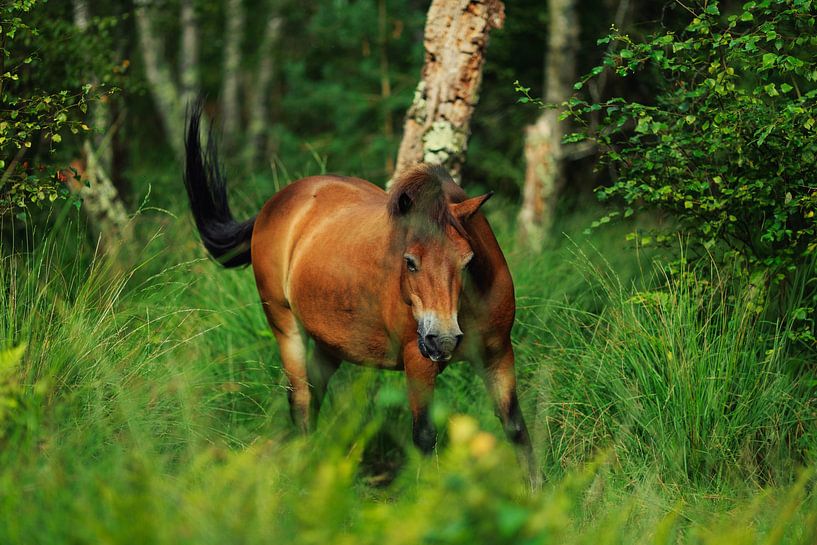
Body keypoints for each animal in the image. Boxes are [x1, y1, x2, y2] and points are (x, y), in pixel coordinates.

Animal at [183, 106, 536, 483]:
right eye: (409, 262)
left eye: (467, 260)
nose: (442, 340)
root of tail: (275, 204)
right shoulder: (418, 362)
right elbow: (425, 436)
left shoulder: (498, 355)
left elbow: (516, 428)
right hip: (284, 324)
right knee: (301, 399)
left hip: (330, 343)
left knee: (314, 392)